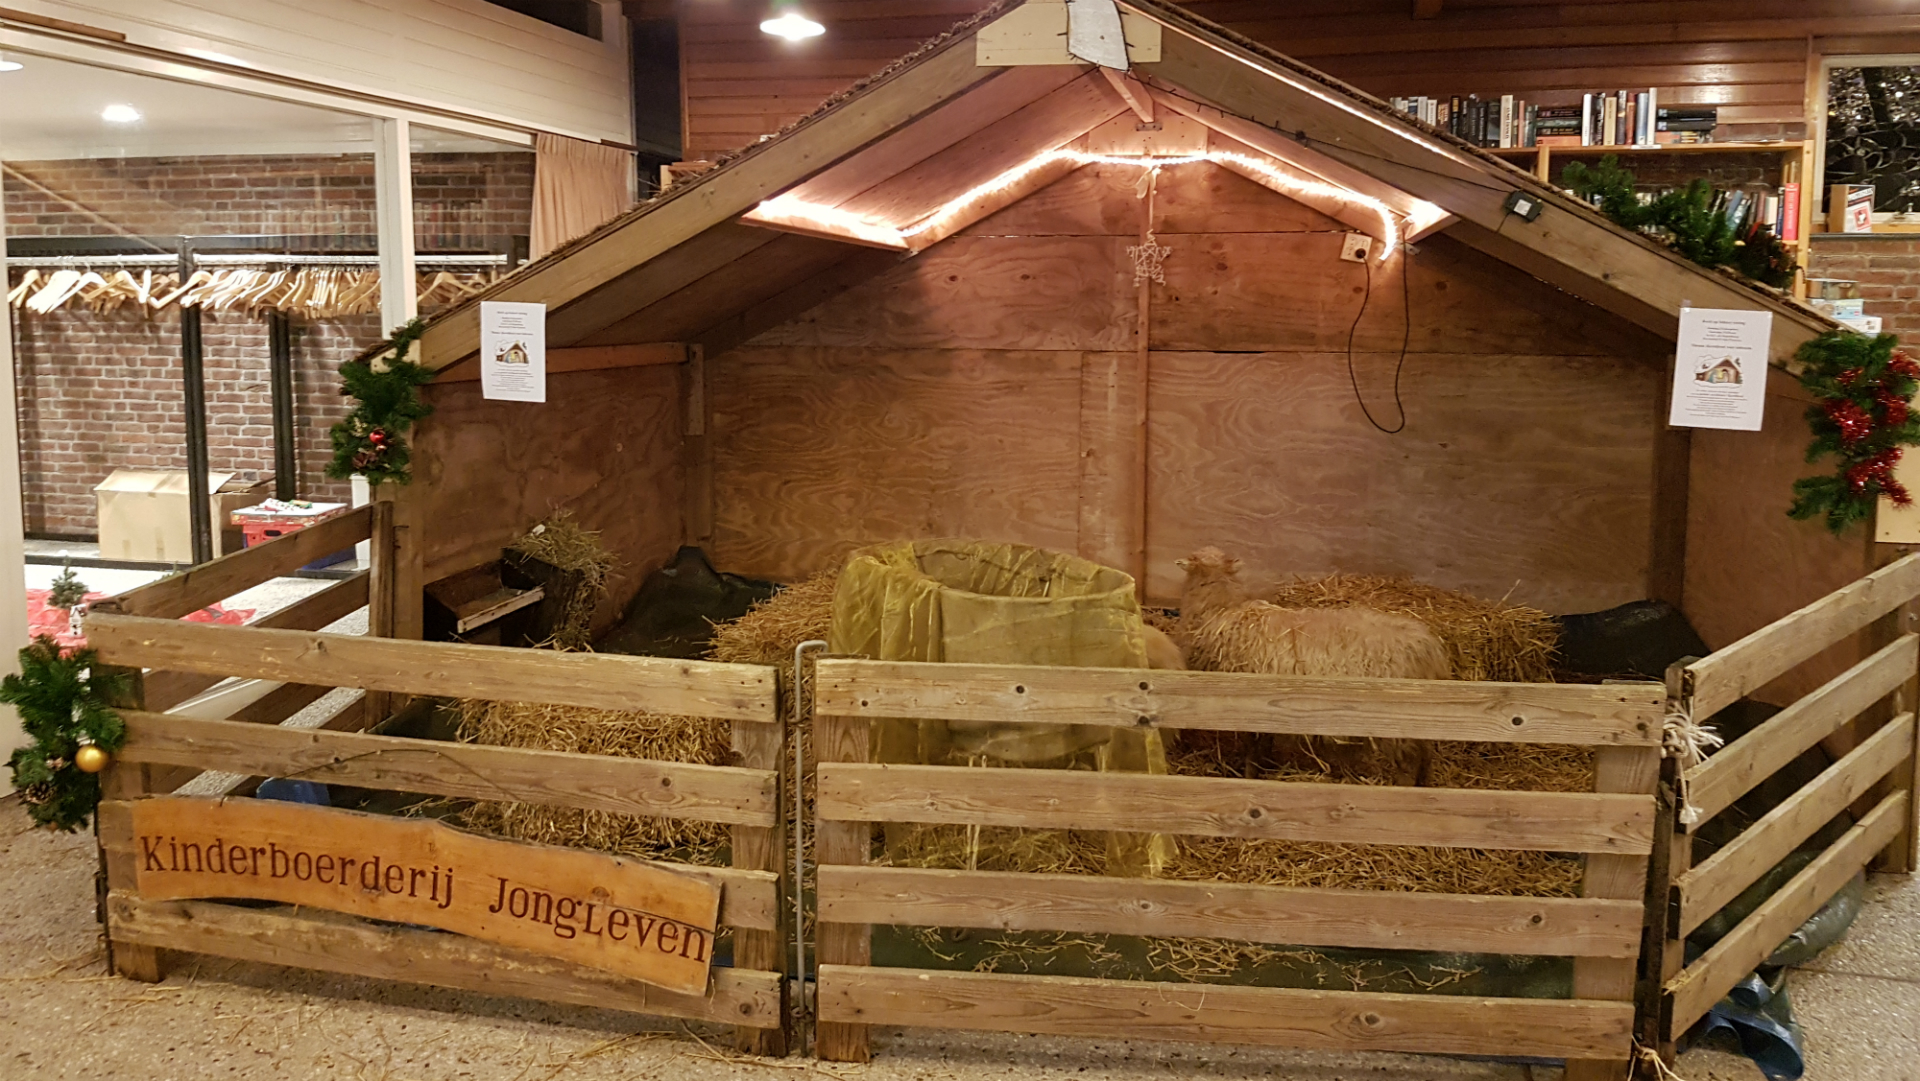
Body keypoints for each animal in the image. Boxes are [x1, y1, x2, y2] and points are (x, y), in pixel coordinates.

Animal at [1167, 549, 1451, 787]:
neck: (1221, 611)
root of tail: (1430, 648)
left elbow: (1253, 751)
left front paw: (1250, 776)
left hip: (1397, 722)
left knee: (1409, 762)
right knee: (1425, 755)